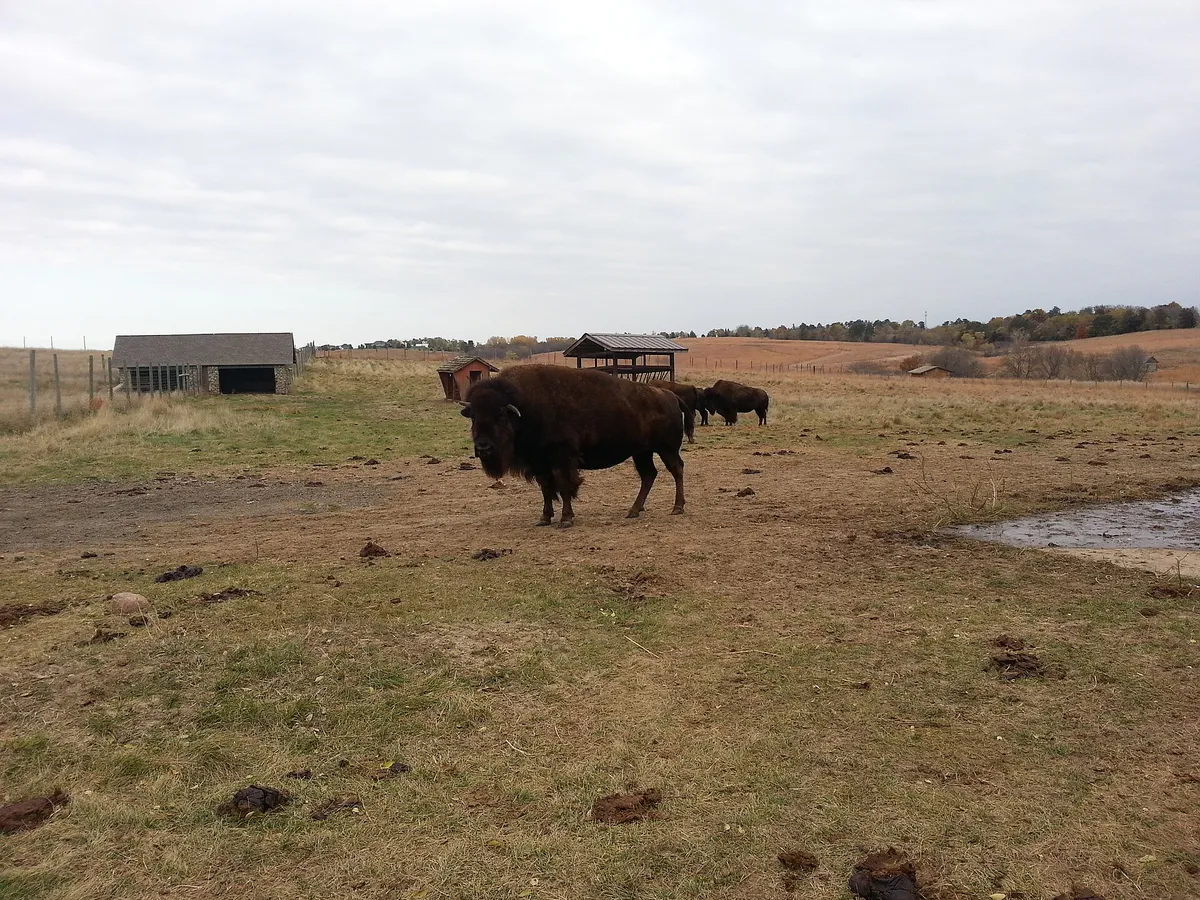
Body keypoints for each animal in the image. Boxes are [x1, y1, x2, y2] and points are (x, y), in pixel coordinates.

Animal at [461, 365, 686, 527]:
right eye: (473, 416)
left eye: (500, 415)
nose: (483, 448)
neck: (524, 407)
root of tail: (670, 396)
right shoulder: (539, 463)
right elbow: (546, 488)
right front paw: (544, 518)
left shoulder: (562, 459)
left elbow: (564, 486)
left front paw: (566, 519)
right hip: (642, 452)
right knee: (649, 475)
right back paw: (633, 511)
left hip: (667, 449)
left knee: (676, 470)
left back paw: (677, 507)